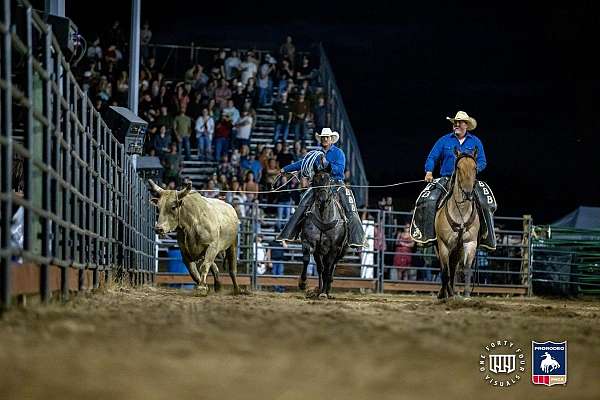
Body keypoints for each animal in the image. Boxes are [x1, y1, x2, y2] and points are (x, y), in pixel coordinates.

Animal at [298, 164, 350, 298]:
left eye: (329, 180)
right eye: (315, 181)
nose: (322, 199)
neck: (324, 218)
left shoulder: (334, 248)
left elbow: (328, 268)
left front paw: (324, 293)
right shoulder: (310, 243)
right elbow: (307, 260)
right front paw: (303, 283)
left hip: (341, 251)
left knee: (331, 268)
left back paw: (327, 290)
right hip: (321, 252)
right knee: (321, 268)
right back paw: (321, 290)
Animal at [434, 150, 480, 300]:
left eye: (475, 168)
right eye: (459, 168)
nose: (467, 193)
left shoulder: (470, 243)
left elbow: (466, 269)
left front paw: (466, 295)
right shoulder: (443, 245)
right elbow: (445, 271)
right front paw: (444, 295)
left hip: (457, 250)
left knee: (453, 268)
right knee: (445, 269)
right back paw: (445, 293)